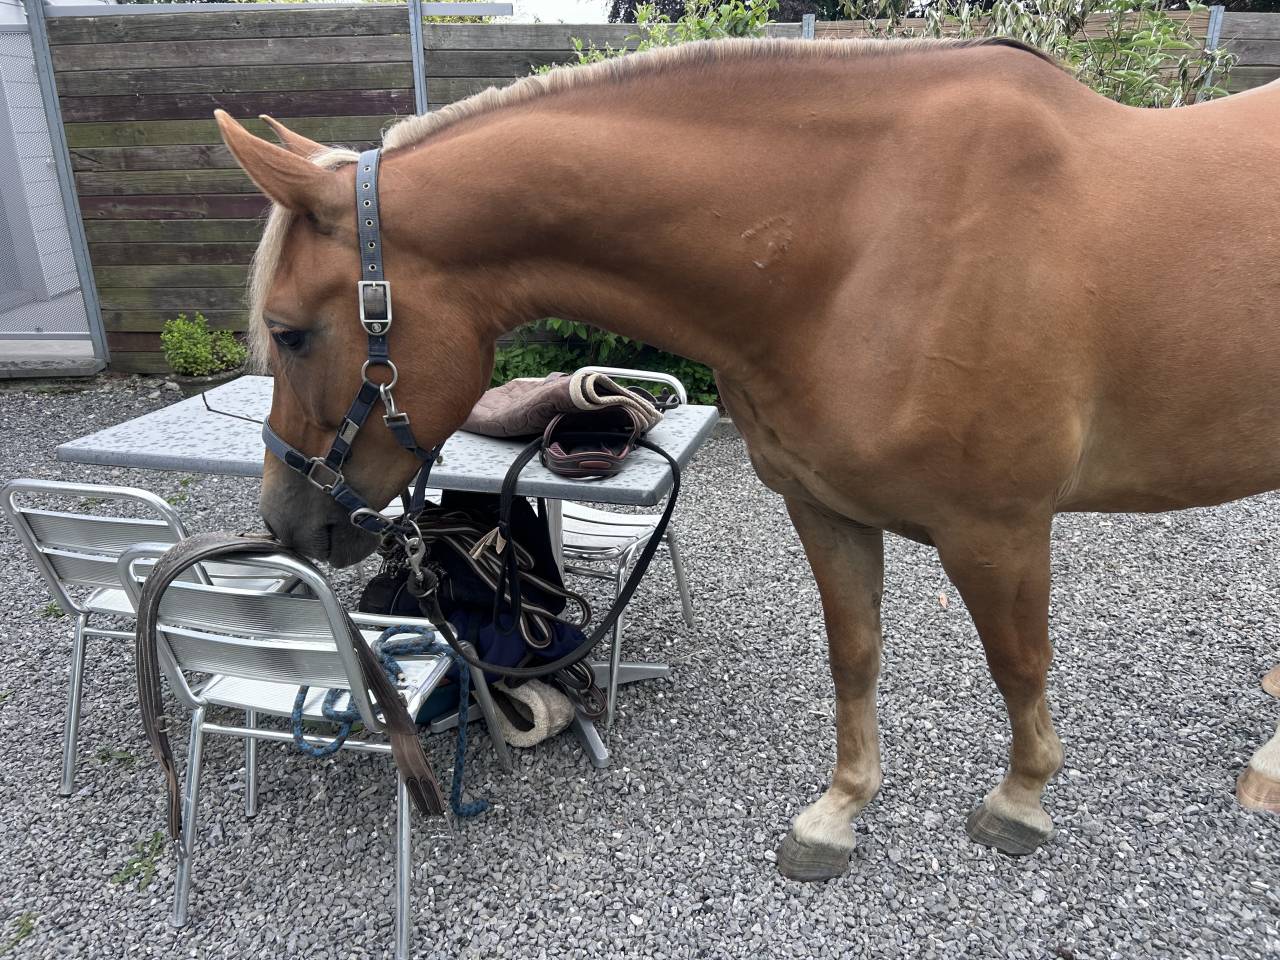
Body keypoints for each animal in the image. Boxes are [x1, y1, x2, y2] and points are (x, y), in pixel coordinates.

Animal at [215, 35, 1280, 881]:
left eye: (291, 332)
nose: (286, 520)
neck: (863, 239)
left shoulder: (1000, 528)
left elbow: (1017, 663)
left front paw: (1020, 803)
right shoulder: (826, 507)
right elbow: (854, 653)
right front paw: (838, 815)